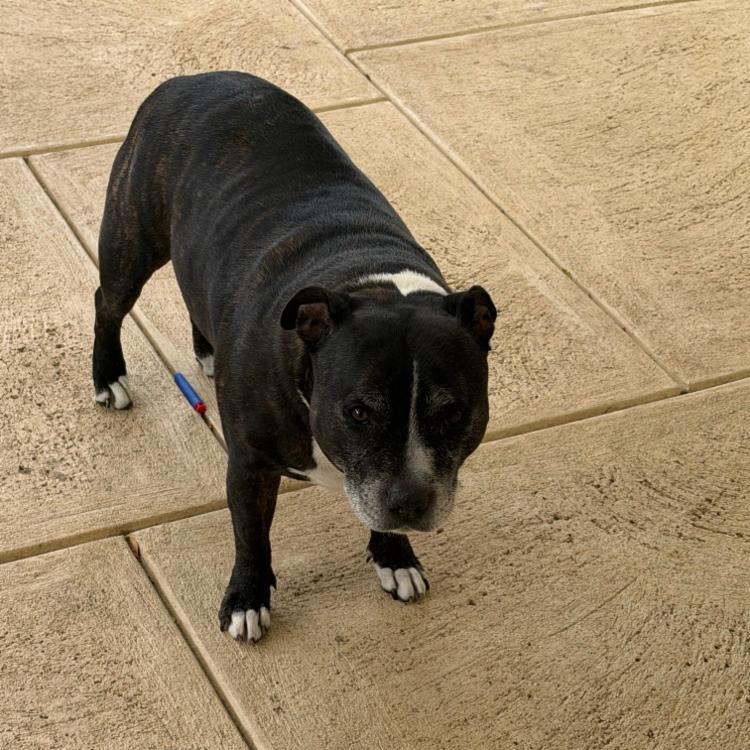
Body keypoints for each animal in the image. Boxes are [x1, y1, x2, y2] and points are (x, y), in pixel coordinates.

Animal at [93, 72, 496, 643]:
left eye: (455, 413)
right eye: (358, 412)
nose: (410, 503)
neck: (372, 282)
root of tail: (192, 78)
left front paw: (394, 557)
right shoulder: (249, 466)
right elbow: (251, 536)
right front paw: (247, 599)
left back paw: (209, 350)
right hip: (130, 242)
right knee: (107, 304)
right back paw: (107, 377)